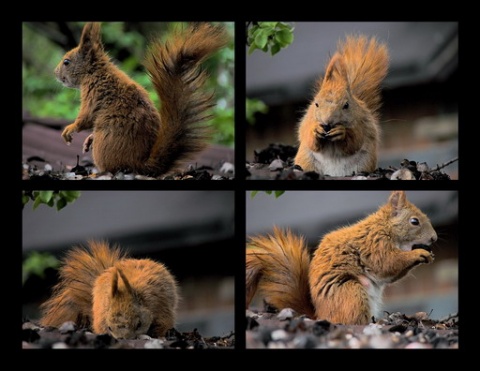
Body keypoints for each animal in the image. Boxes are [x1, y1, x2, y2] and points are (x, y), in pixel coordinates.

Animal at [55, 22, 228, 177]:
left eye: (66, 62)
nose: (55, 73)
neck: (94, 71)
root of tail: (140, 165)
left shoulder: (93, 92)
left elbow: (86, 117)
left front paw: (70, 129)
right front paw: (87, 139)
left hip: (104, 144)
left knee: (111, 169)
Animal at [246, 192, 436, 326]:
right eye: (414, 221)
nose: (434, 238)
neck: (385, 228)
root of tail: (320, 315)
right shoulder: (375, 246)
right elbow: (387, 263)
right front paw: (419, 253)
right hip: (351, 292)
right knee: (352, 320)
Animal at [292, 34, 390, 177]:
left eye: (346, 105)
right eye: (316, 104)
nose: (327, 123)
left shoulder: (361, 123)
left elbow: (355, 141)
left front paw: (341, 132)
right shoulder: (308, 120)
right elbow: (308, 137)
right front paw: (316, 130)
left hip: (365, 163)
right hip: (306, 160)